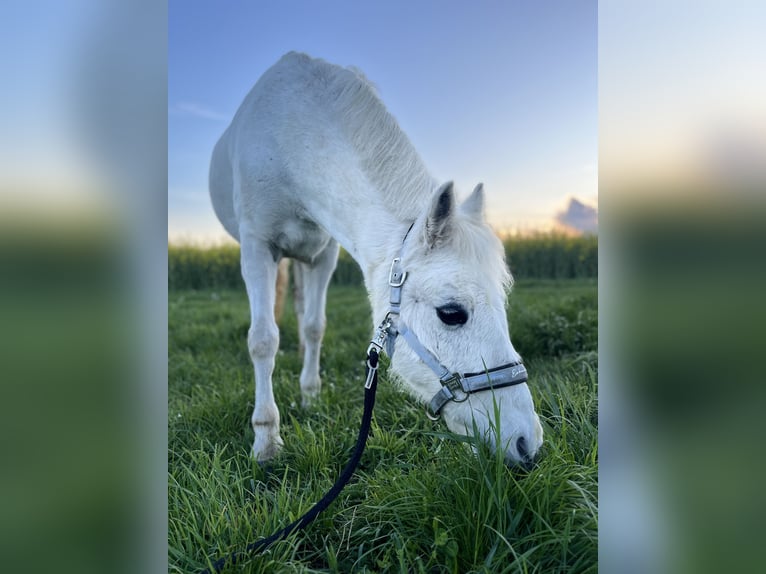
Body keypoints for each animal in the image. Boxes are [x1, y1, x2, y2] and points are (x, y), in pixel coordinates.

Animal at [210, 51, 544, 468]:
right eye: (451, 313)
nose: (527, 441)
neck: (290, 143)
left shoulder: (323, 255)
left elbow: (315, 326)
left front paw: (310, 396)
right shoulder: (257, 247)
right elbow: (262, 339)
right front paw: (266, 440)